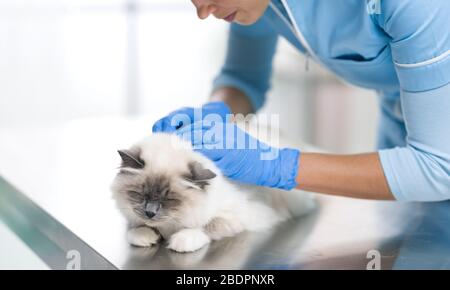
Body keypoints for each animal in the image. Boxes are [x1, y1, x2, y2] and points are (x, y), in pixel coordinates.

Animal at [110, 133, 314, 253]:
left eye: (169, 199)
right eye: (141, 194)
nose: (150, 212)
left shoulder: (239, 216)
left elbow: (207, 226)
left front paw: (182, 240)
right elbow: (137, 226)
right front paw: (144, 235)